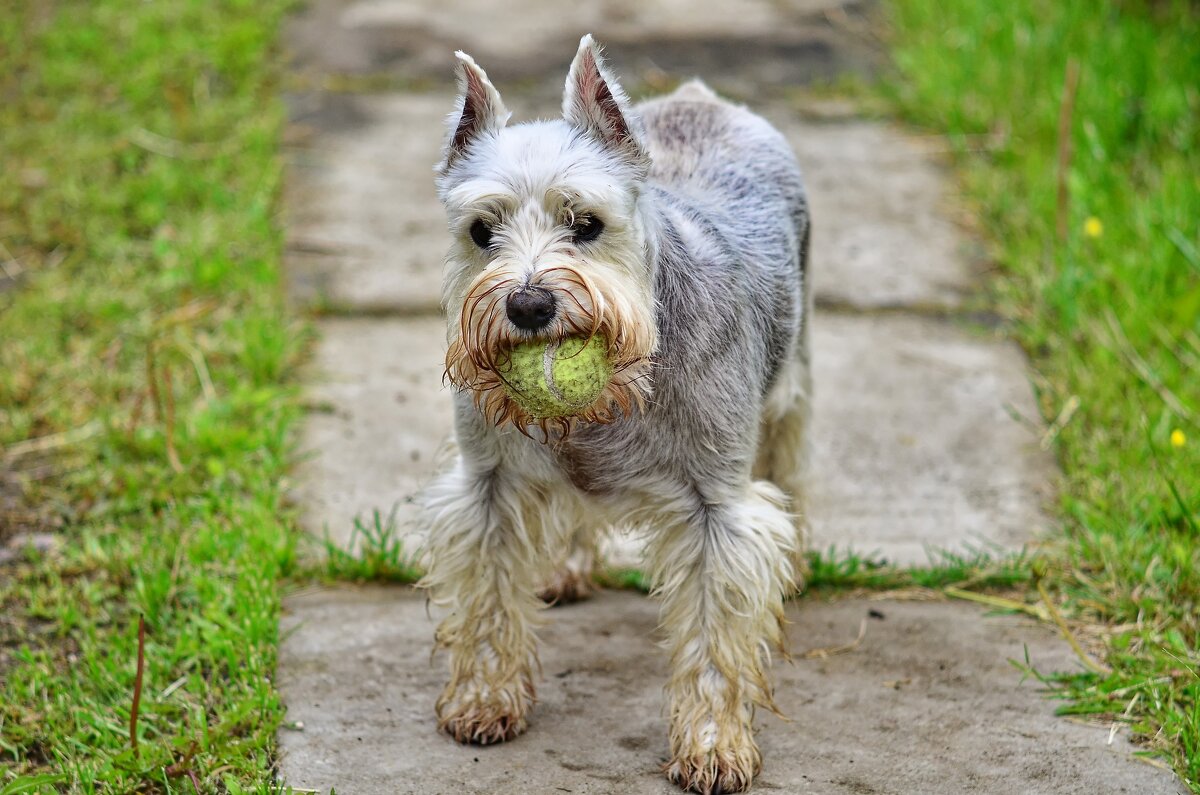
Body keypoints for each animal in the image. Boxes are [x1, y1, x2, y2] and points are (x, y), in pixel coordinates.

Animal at [422, 34, 816, 792]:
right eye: (481, 232)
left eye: (587, 224)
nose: (528, 305)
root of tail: (698, 97)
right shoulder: (488, 486)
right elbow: (489, 600)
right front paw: (485, 698)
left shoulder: (716, 511)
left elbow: (715, 640)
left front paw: (713, 747)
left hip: (790, 385)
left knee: (791, 465)